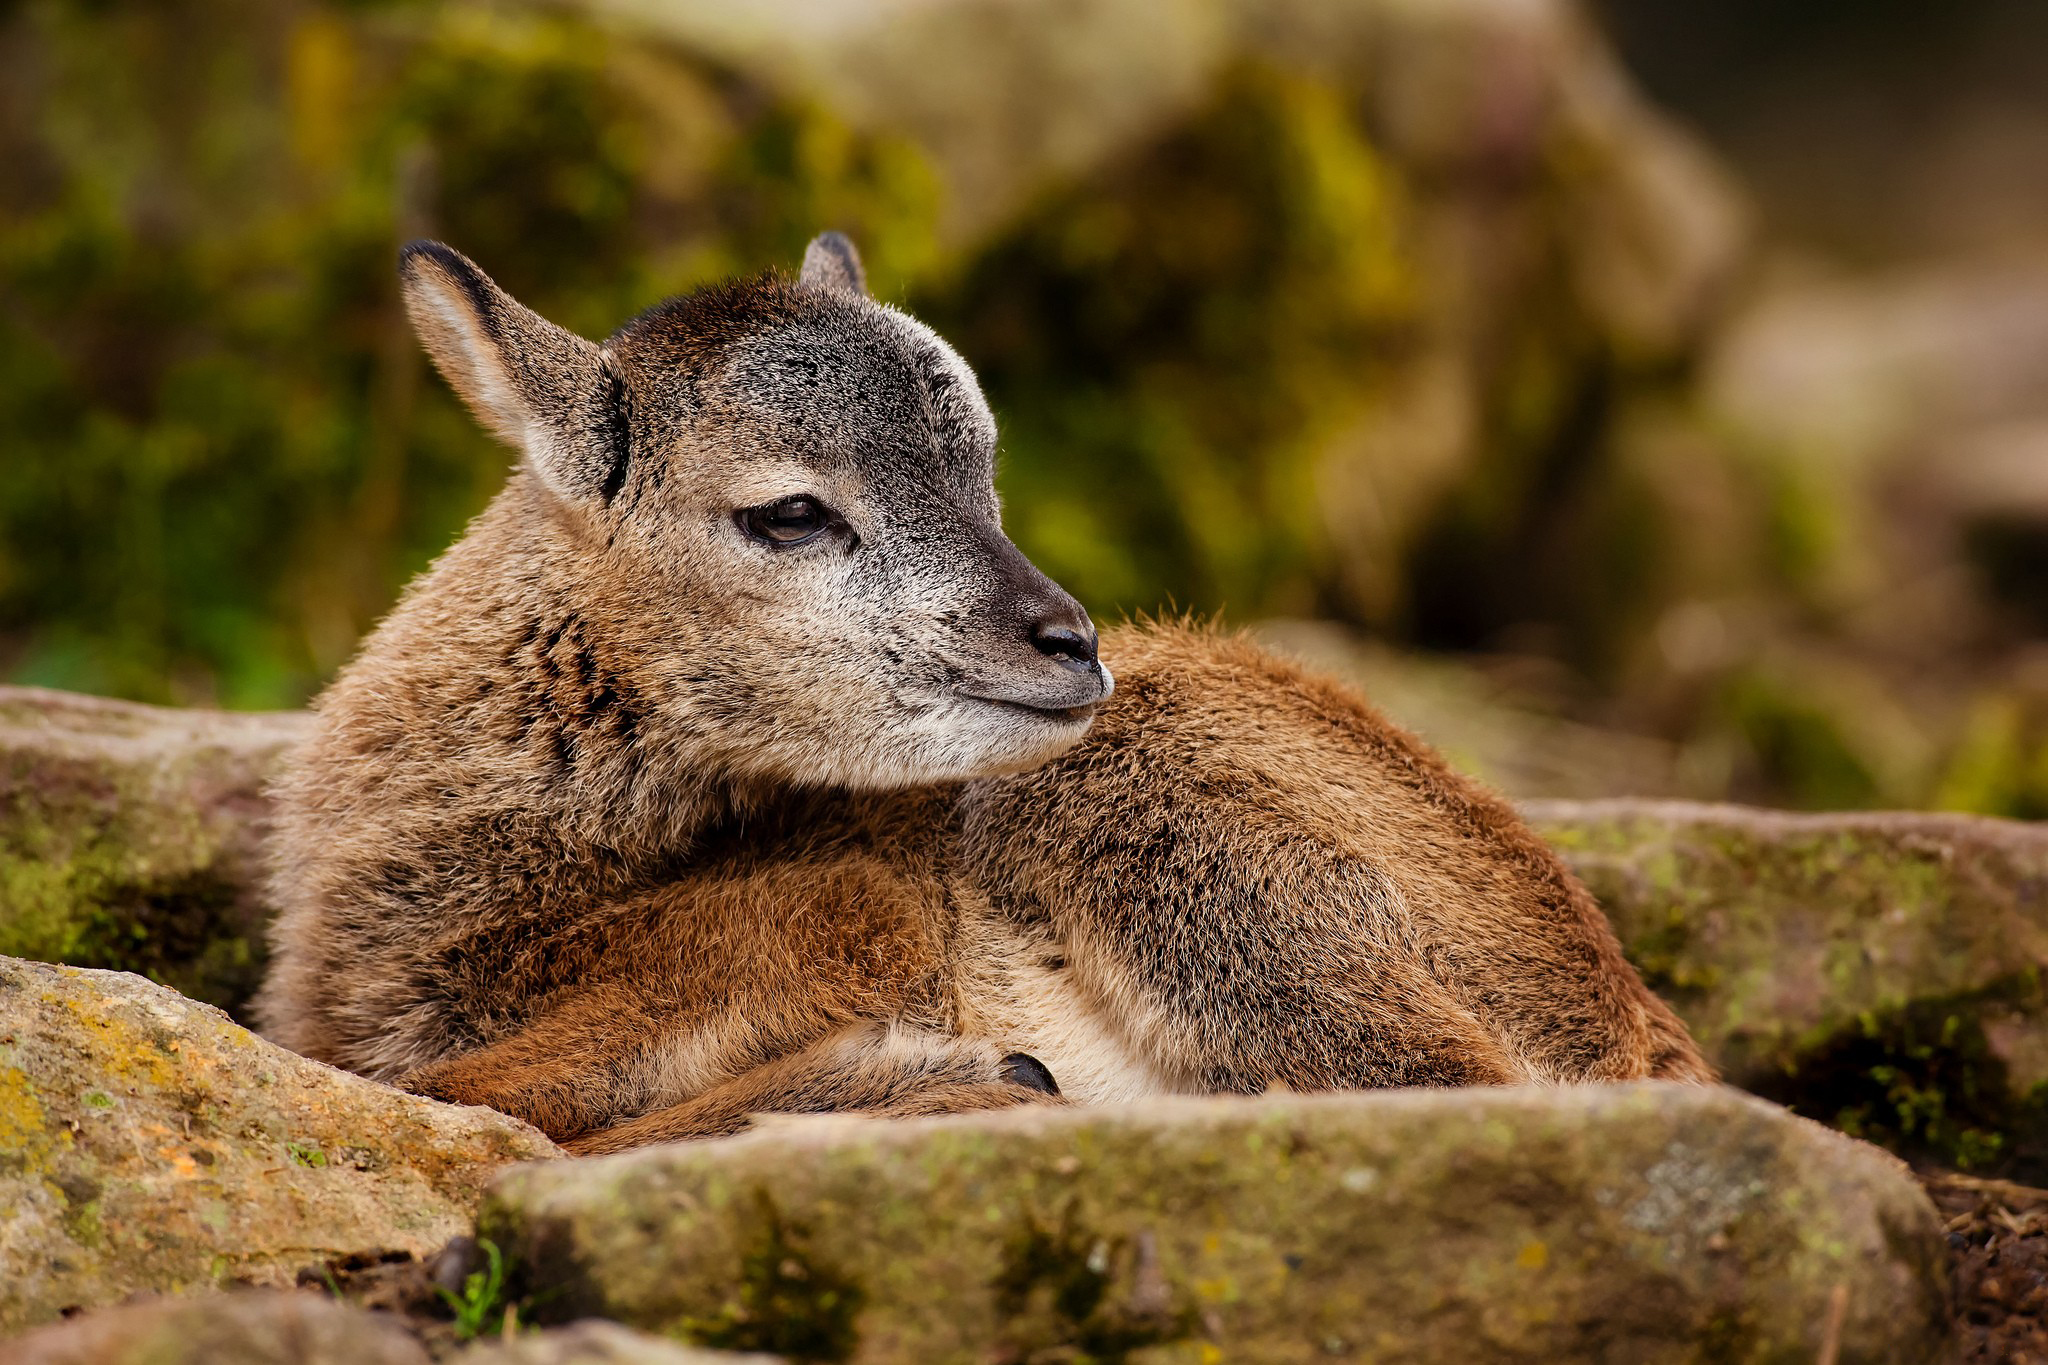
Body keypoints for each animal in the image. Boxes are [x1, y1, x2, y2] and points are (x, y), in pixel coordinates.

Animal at [256, 235, 1712, 1154]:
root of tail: (1625, 1018)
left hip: (1174, 850)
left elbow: (495, 1104)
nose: (1067, 644)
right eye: (789, 510)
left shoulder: (823, 919)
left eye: (984, 476)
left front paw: (941, 1080)